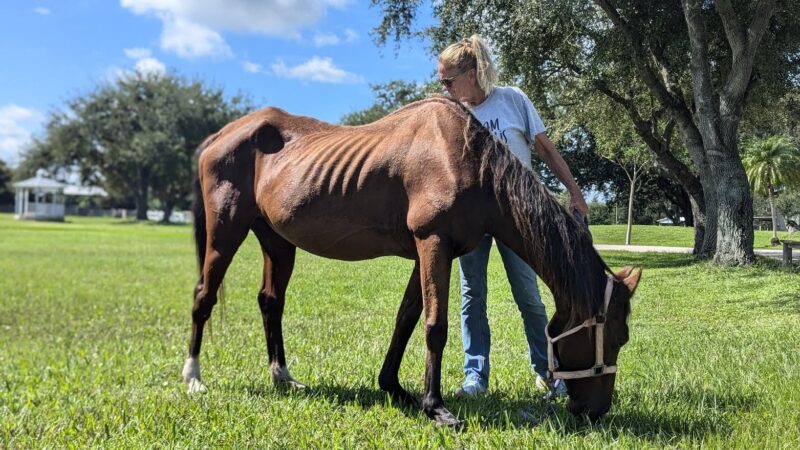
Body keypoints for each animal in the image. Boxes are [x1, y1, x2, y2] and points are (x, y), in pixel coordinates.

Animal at [181, 96, 641, 426]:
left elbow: (406, 318)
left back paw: (283, 376)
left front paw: (394, 387)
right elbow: (435, 326)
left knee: (270, 302)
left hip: (277, 242)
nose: (596, 412)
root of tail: (221, 135)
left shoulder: (429, 254)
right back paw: (193, 378)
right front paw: (434, 406)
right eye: (617, 338)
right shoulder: (432, 243)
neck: (466, 160)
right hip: (226, 232)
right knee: (203, 296)